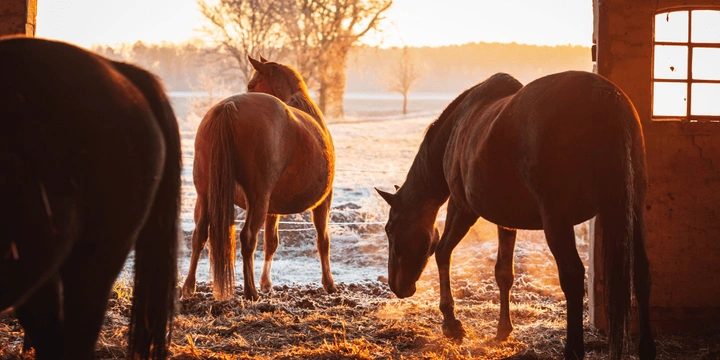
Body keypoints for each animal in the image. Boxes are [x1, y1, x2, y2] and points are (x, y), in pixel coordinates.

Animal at [181, 54, 336, 300]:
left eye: (251, 85)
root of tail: (228, 107)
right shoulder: (324, 201)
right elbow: (323, 240)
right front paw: (329, 284)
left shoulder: (273, 208)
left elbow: (271, 242)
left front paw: (267, 283)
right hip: (257, 199)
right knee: (248, 237)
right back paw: (250, 291)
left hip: (205, 195)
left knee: (199, 235)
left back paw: (189, 287)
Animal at [376, 71, 660, 360]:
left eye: (390, 229)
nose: (397, 286)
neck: (456, 129)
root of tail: (605, 98)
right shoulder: (506, 220)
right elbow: (504, 273)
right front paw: (503, 329)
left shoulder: (462, 208)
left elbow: (442, 252)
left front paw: (451, 324)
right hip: (632, 209)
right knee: (642, 274)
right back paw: (646, 349)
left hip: (556, 220)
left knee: (572, 276)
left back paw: (573, 349)